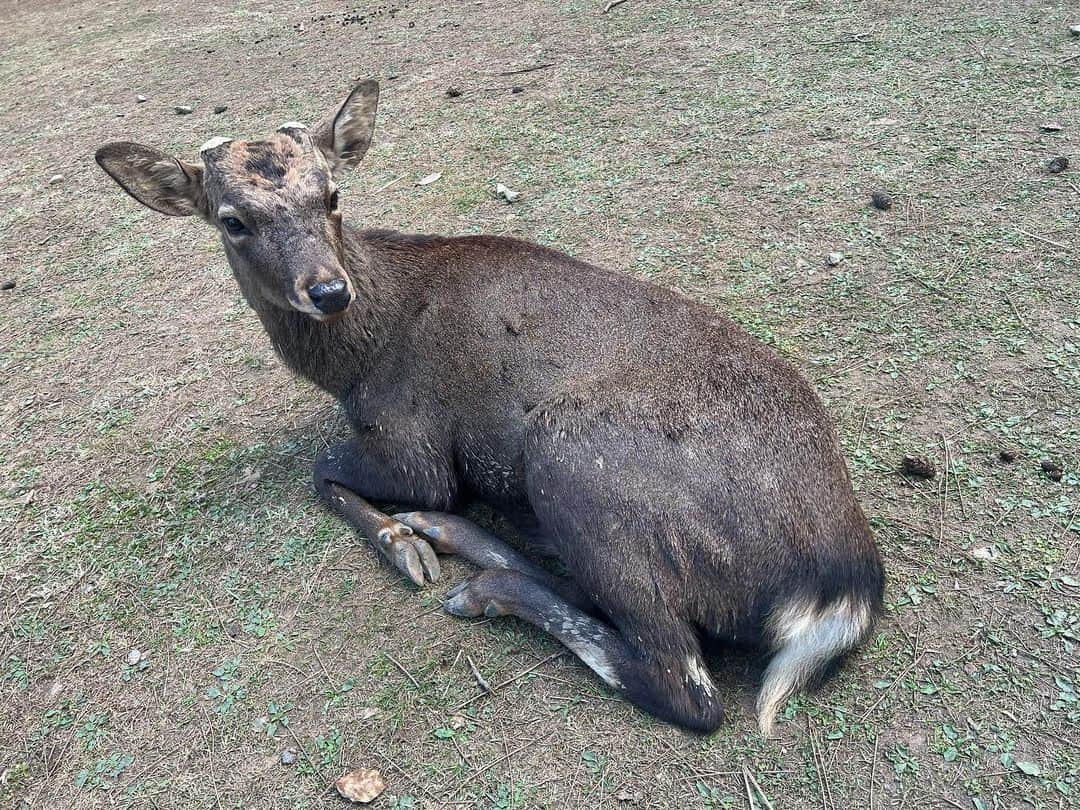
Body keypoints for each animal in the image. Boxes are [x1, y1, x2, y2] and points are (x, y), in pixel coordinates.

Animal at [95, 81, 885, 734]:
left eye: (332, 195)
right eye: (232, 220)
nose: (327, 290)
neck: (352, 367)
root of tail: (843, 589)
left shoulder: (412, 442)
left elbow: (322, 470)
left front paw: (401, 543)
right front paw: (412, 535)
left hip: (572, 455)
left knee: (686, 685)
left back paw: (481, 581)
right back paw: (458, 540)